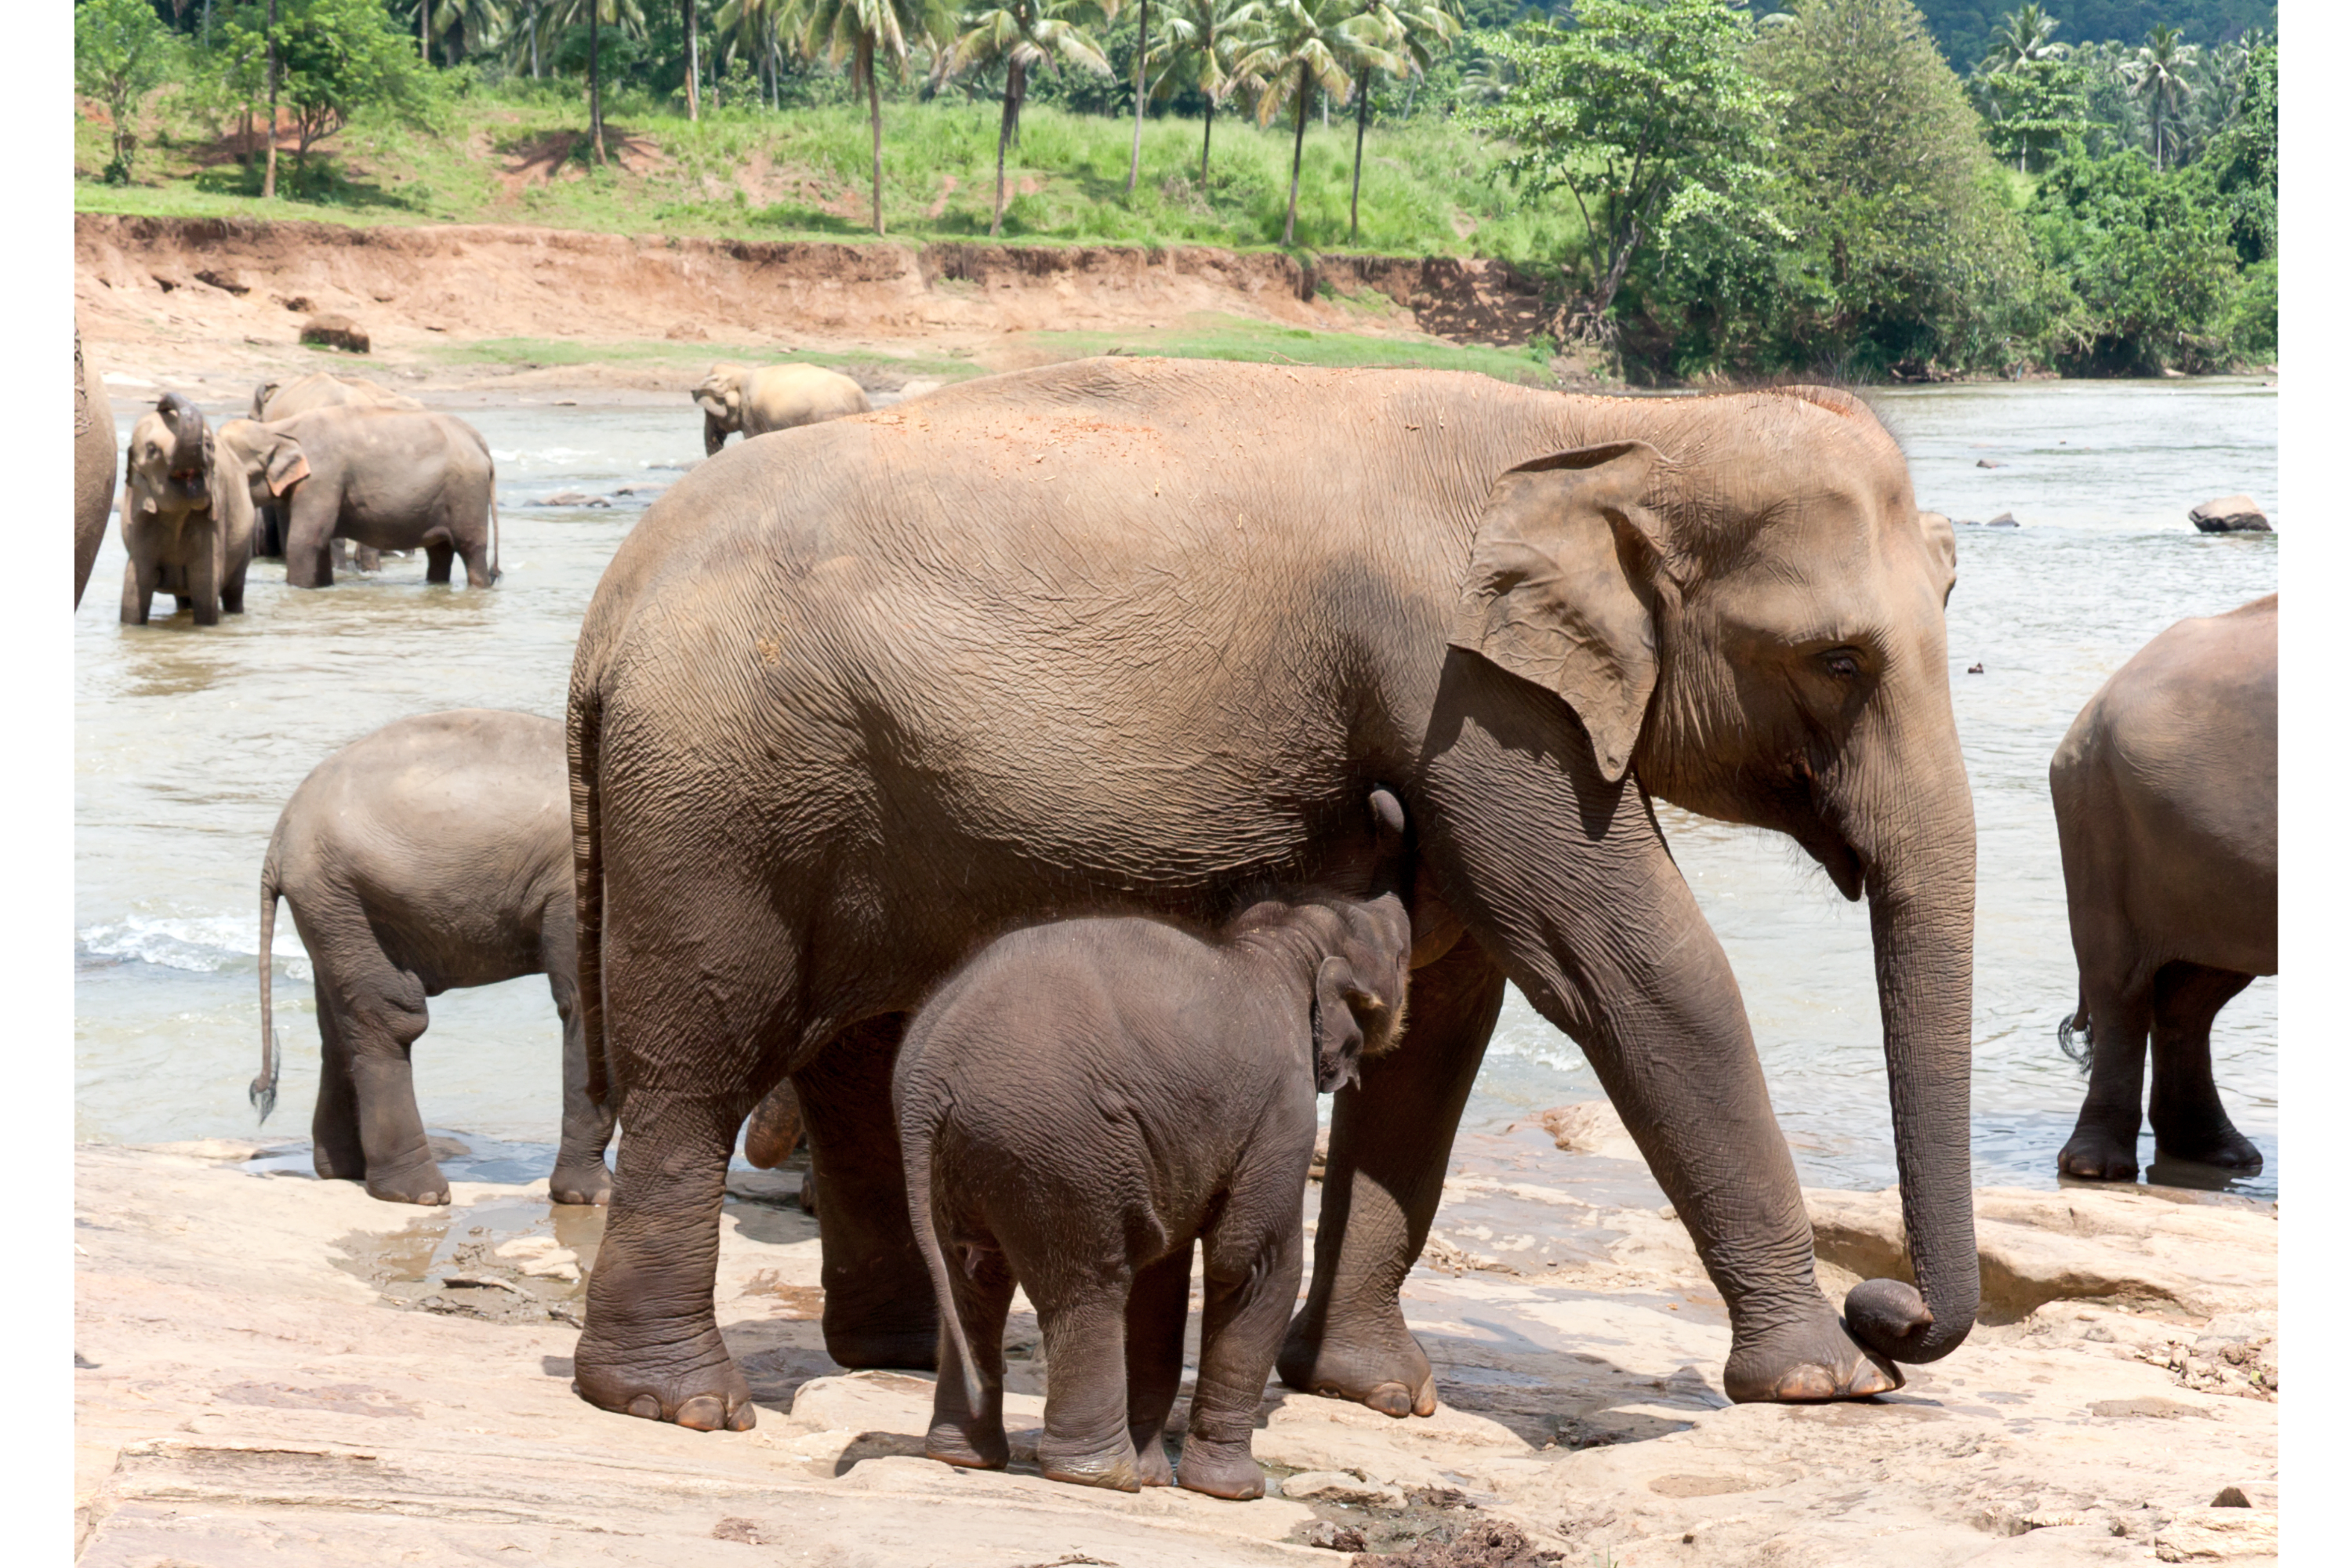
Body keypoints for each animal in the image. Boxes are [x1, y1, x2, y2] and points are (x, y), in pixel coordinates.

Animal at [119, 393, 254, 627]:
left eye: (208, 445)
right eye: (152, 450)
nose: (163, 403)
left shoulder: (215, 516)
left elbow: (205, 585)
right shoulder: (139, 518)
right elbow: (135, 590)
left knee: (233, 593)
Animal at [223, 406, 500, 589]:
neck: (275, 429)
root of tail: (478, 441)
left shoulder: (322, 478)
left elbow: (305, 541)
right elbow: (319, 543)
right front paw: (321, 587)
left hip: (467, 491)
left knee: (470, 549)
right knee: (440, 552)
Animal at [250, 709, 615, 1207]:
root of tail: (279, 838)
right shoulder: (578, 883)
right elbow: (589, 1000)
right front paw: (596, 1197)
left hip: (331, 910)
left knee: (337, 1022)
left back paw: (344, 1171)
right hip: (342, 895)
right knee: (391, 1016)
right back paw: (418, 1193)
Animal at [900, 790, 1414, 1500]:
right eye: (1399, 959)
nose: (1381, 801)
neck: (1271, 946)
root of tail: (928, 1075)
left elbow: (1163, 1278)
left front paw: (1163, 1474)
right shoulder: (1280, 1112)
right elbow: (1251, 1263)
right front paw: (1232, 1492)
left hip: (975, 1157)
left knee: (976, 1279)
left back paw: (966, 1456)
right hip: (1060, 1151)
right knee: (1090, 1282)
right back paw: (1102, 1476)